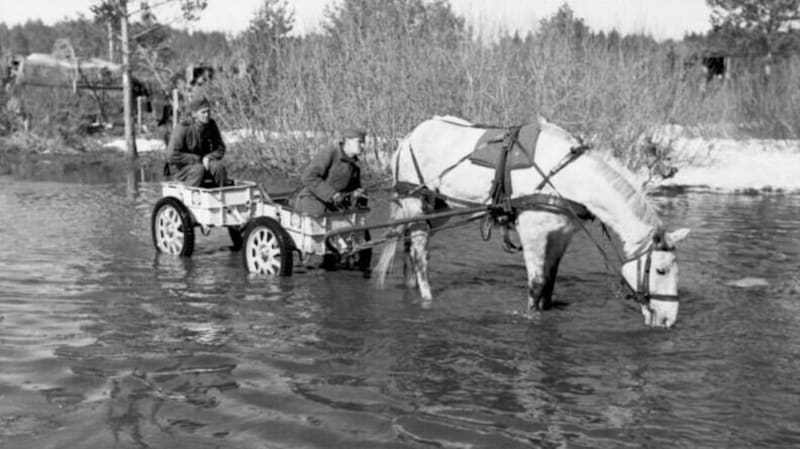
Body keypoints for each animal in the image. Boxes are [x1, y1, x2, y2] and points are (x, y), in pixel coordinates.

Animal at [372, 114, 692, 326]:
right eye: (661, 270)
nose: (668, 319)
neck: (567, 178)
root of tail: (409, 137)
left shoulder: (561, 236)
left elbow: (549, 285)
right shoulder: (532, 234)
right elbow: (536, 285)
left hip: (439, 209)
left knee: (411, 247)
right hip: (416, 202)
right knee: (419, 253)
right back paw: (426, 297)